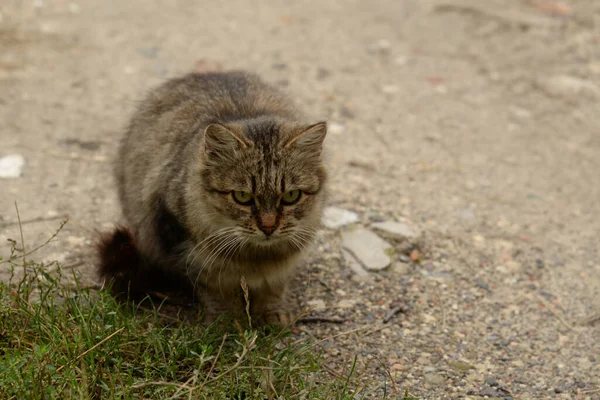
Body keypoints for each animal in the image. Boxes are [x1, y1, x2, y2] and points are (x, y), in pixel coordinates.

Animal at [97, 72, 328, 324]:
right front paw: (226, 321)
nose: (268, 227)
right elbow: (216, 290)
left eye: (291, 196)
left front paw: (271, 314)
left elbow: (273, 288)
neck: (255, 257)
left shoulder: (283, 263)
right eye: (242, 197)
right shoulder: (189, 249)